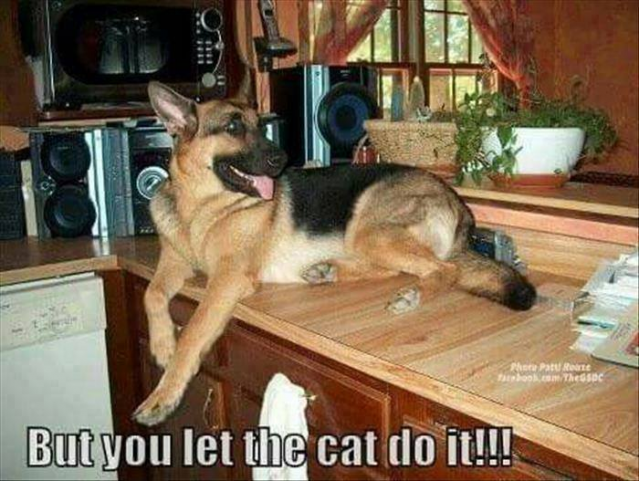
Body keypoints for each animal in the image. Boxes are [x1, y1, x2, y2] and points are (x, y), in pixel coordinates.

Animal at [133, 81, 536, 426]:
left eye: (261, 127)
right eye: (233, 126)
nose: (282, 158)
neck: (199, 208)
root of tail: (456, 201)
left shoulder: (228, 278)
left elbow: (194, 331)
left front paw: (162, 395)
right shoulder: (173, 261)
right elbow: (151, 292)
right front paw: (162, 344)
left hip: (369, 230)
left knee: (443, 270)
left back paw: (411, 296)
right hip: (368, 238)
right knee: (396, 268)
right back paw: (328, 271)